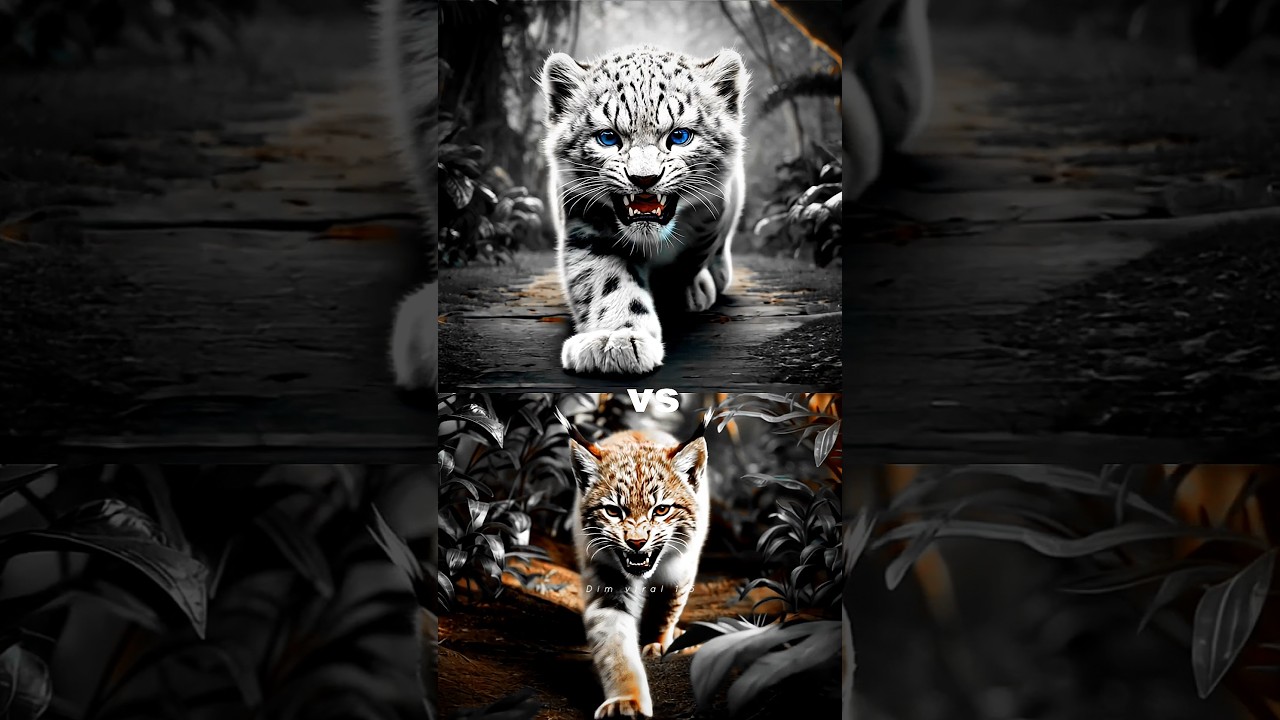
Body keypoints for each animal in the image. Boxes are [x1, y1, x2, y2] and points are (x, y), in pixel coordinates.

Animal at [539, 45, 748, 375]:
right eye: (608, 137)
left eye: (680, 136)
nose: (644, 179)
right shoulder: (585, 222)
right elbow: (606, 279)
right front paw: (615, 339)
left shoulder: (711, 219)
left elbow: (688, 261)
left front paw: (681, 295)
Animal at [557, 409, 711, 718]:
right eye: (613, 511)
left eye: (661, 510)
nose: (637, 543)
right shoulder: (606, 583)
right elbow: (615, 648)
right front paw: (626, 701)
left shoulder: (681, 569)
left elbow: (666, 610)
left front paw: (658, 642)